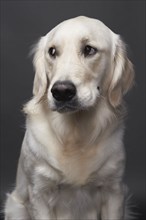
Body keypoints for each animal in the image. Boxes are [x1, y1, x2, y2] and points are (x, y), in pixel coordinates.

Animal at [4, 16, 135, 219]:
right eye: (52, 52)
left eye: (89, 49)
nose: (62, 91)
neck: (74, 134)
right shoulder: (39, 193)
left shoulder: (113, 190)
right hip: (16, 206)